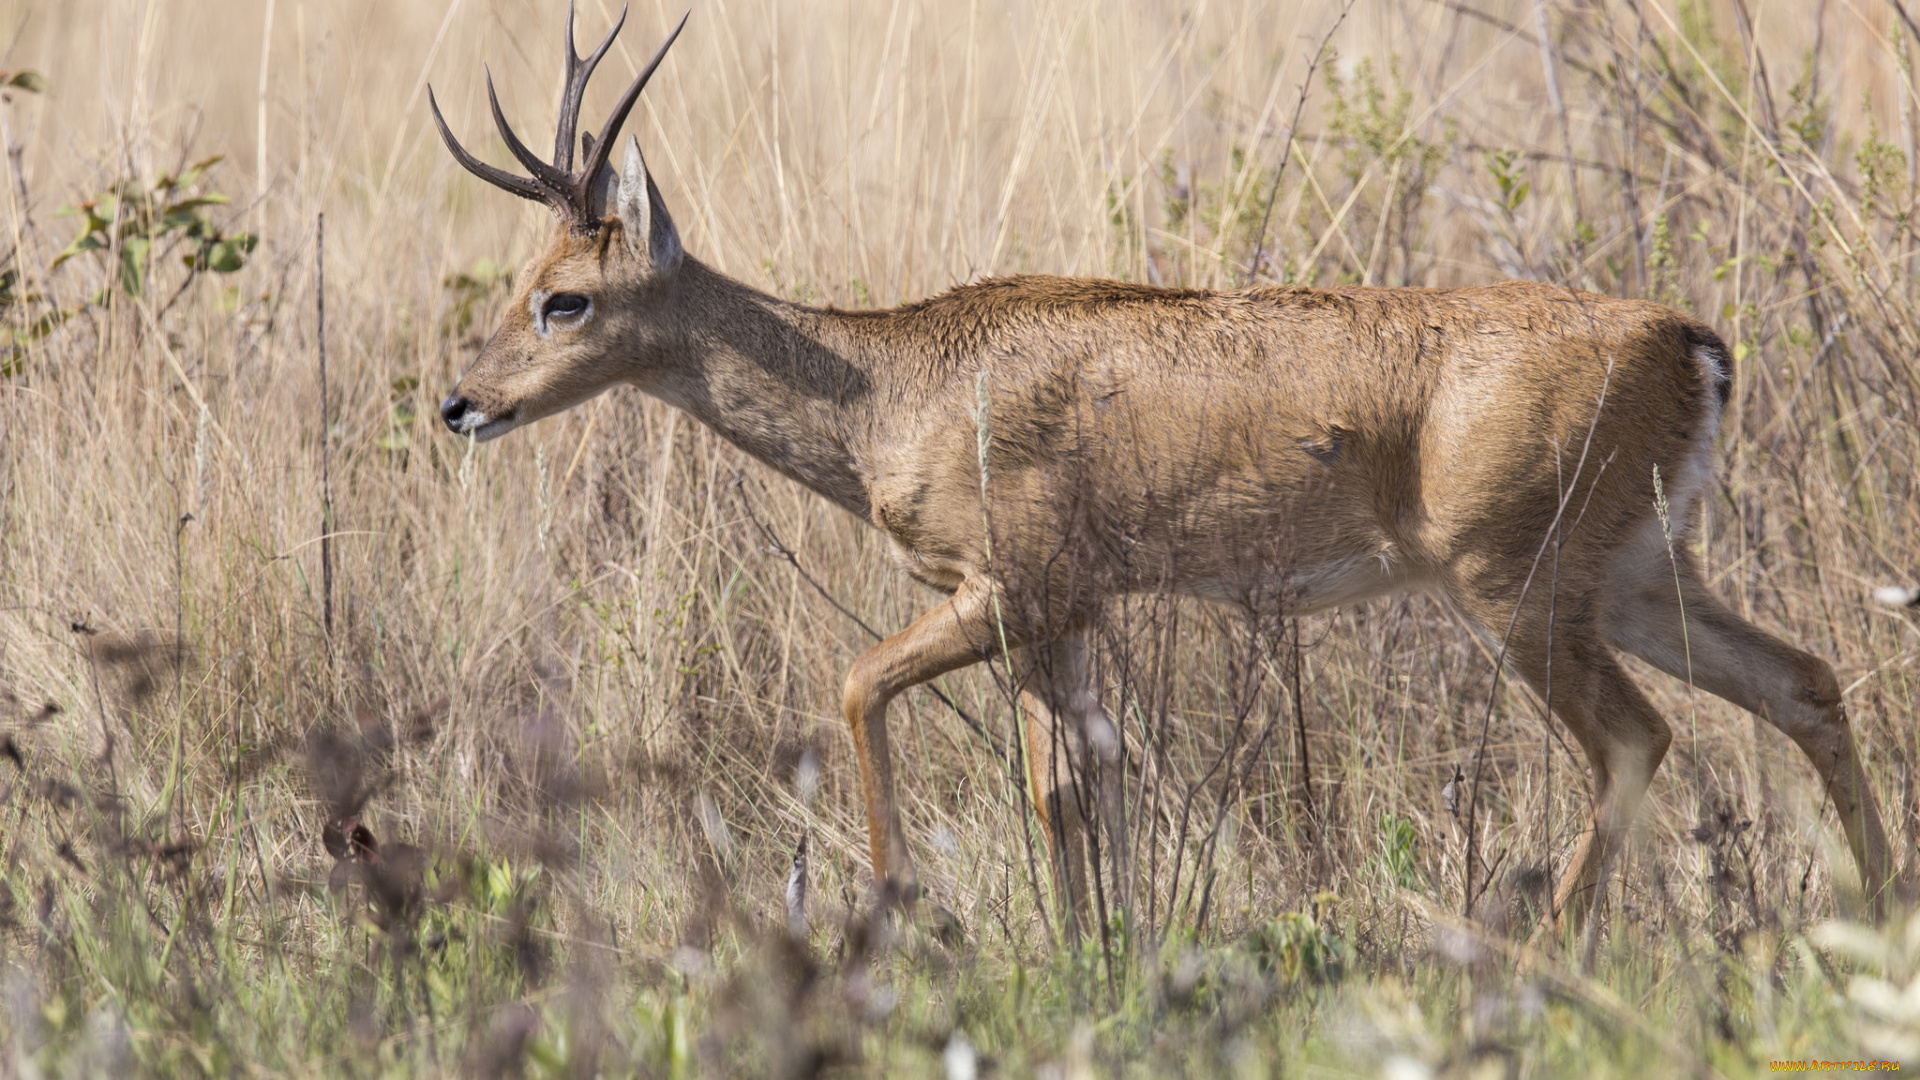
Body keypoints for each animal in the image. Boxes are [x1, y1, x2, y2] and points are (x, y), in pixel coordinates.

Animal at [432, 4, 1904, 930]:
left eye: (566, 297)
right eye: (517, 279)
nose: (457, 404)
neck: (893, 388)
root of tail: (1693, 341)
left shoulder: (1009, 590)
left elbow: (862, 690)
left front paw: (902, 918)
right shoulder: (1073, 614)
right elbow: (1076, 789)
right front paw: (1098, 959)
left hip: (1522, 587)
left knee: (1640, 741)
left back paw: (1541, 962)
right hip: (1643, 572)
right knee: (1807, 682)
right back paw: (1880, 918)